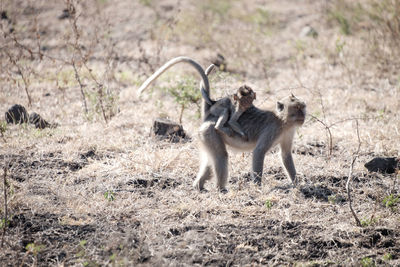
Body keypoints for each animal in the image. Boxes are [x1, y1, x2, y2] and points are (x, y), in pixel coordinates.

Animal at [138, 56, 306, 193]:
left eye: (303, 107)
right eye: (297, 109)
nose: (303, 116)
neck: (283, 121)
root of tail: (210, 114)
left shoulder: (289, 131)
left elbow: (285, 154)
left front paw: (297, 183)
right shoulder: (273, 129)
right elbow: (258, 152)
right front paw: (258, 187)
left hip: (205, 136)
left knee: (210, 160)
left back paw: (199, 186)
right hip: (210, 131)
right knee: (221, 156)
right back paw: (221, 188)